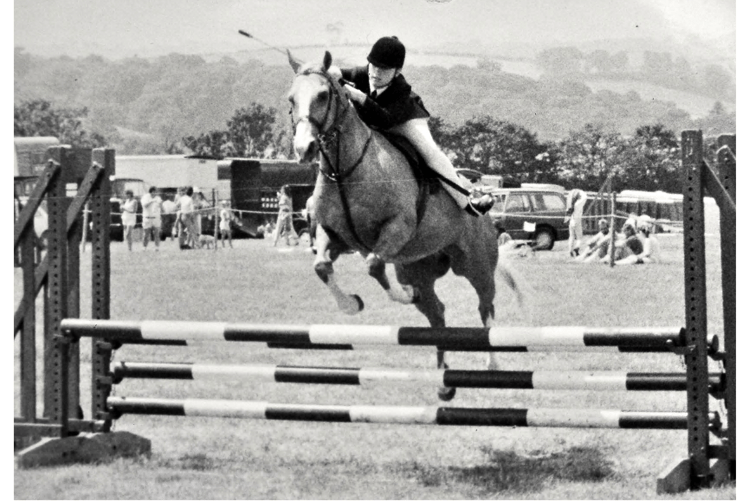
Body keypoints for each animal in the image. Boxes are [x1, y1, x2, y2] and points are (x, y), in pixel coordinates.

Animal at [287, 51, 521, 400]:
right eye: (291, 99)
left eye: (323, 95)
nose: (304, 149)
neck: (346, 170)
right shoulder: (334, 235)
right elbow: (322, 266)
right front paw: (351, 305)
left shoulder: (396, 228)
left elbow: (373, 265)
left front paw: (401, 297)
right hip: (415, 267)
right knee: (437, 313)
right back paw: (444, 382)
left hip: (475, 264)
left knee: (485, 306)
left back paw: (492, 364)